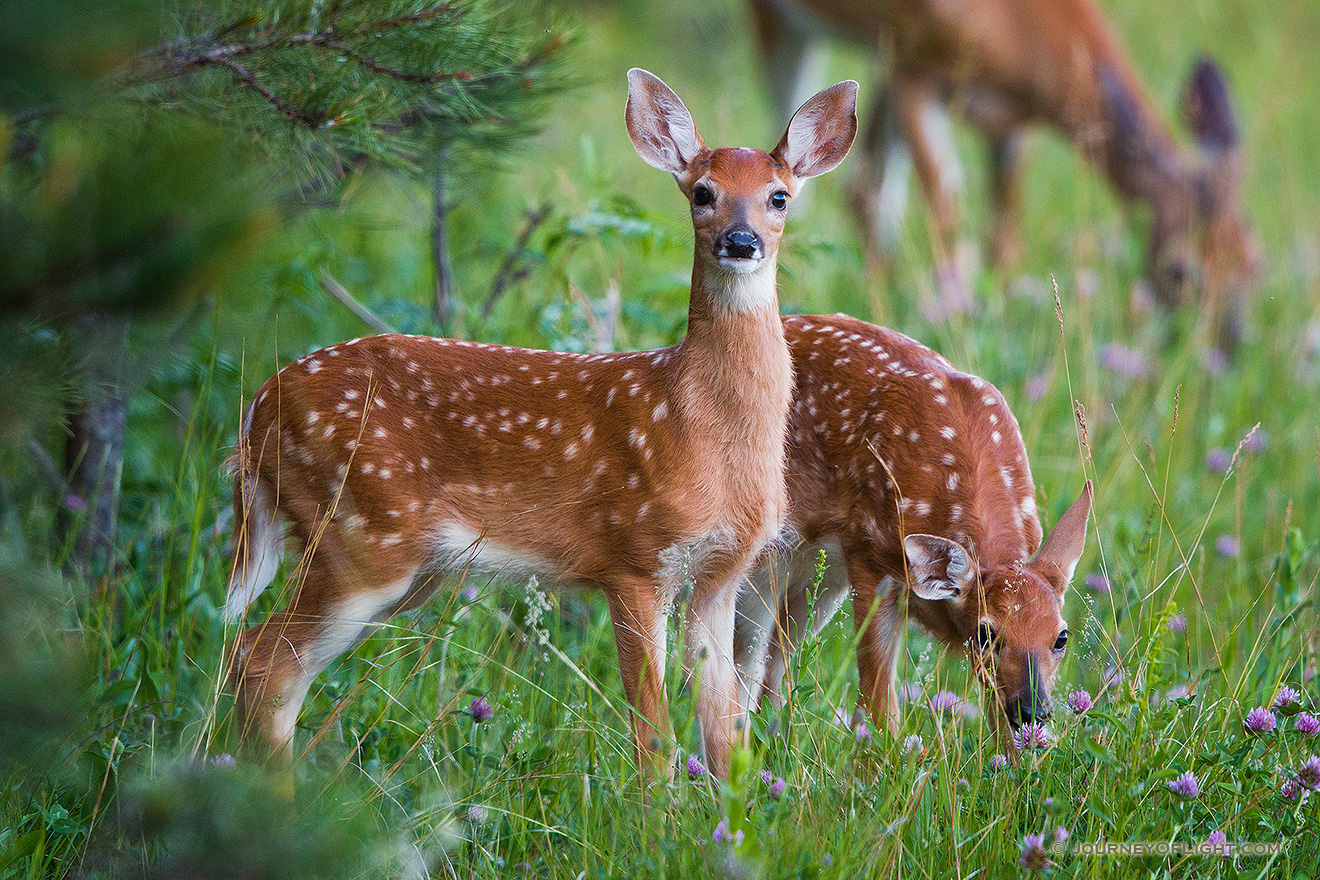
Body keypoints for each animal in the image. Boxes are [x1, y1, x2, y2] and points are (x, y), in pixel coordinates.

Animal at [221, 67, 860, 775]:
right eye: (702, 192)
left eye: (779, 198)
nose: (740, 242)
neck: (698, 425)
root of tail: (257, 413)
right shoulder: (632, 556)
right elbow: (655, 739)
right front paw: (656, 807)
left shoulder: (722, 574)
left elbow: (725, 739)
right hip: (358, 534)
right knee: (262, 659)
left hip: (403, 566)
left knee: (271, 664)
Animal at [739, 315, 1087, 744]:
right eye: (986, 632)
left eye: (1061, 637)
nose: (1033, 710)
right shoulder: (868, 555)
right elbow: (879, 709)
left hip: (816, 579)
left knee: (774, 665)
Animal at [755, 0, 1256, 343]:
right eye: (1180, 271)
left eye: (1256, 263)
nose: (1226, 350)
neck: (1019, 25)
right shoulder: (916, 65)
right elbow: (950, 217)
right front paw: (953, 323)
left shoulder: (1012, 123)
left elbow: (1004, 237)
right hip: (788, 25)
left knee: (864, 190)